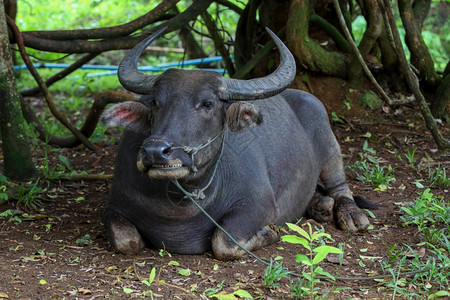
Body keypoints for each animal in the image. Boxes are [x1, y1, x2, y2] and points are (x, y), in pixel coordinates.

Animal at [103, 27, 372, 260]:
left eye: (207, 104)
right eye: (155, 103)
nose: (155, 151)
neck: (177, 205)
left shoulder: (258, 205)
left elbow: (224, 242)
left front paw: (269, 232)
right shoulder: (115, 207)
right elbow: (127, 241)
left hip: (327, 140)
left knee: (339, 185)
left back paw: (350, 214)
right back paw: (320, 207)